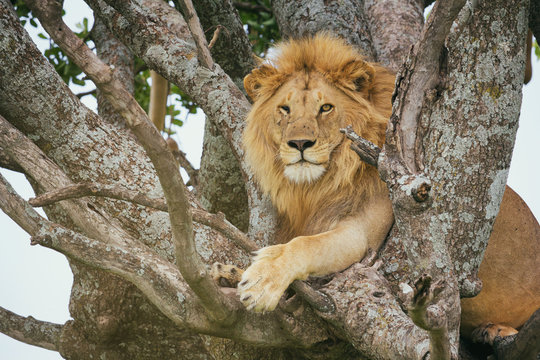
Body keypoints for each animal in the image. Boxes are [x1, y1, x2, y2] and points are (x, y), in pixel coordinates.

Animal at [221, 33, 536, 344]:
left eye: (326, 108)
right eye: (284, 109)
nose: (299, 144)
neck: (317, 186)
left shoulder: (360, 234)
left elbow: (304, 244)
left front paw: (263, 281)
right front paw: (229, 273)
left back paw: (496, 331)